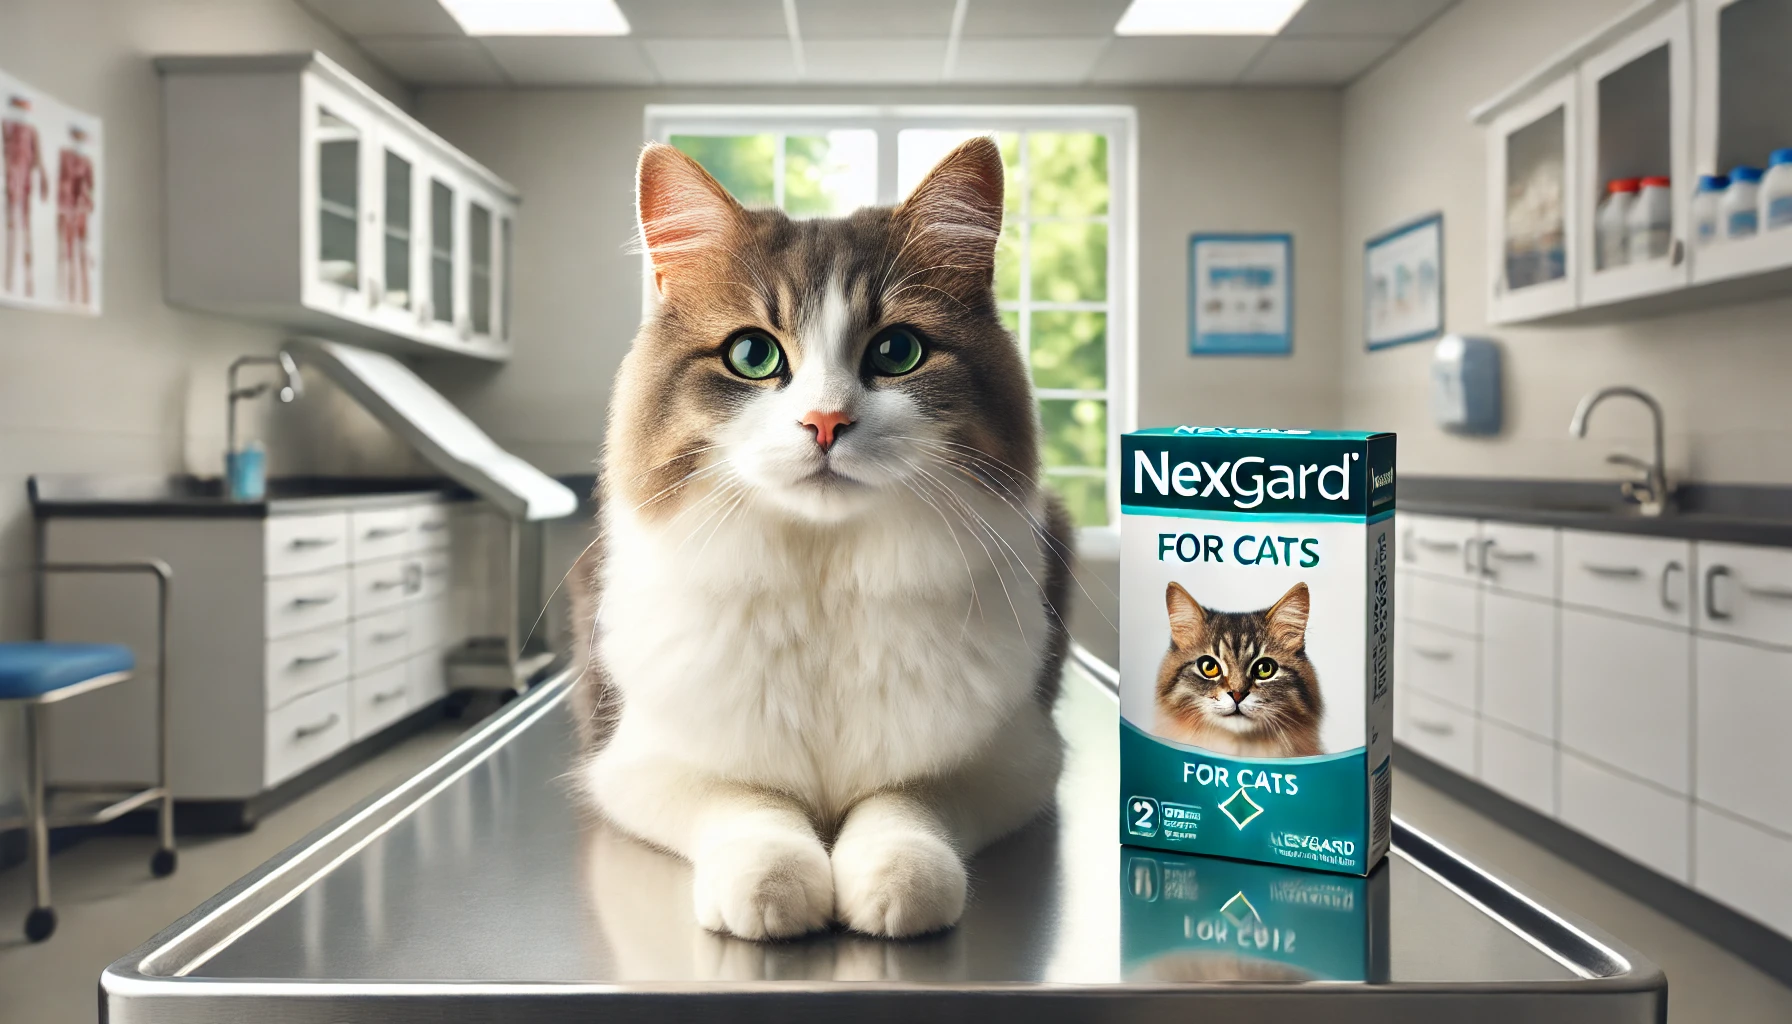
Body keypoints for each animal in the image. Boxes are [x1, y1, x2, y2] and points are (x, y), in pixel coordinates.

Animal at [573, 138, 1068, 946]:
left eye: (897, 351)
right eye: (752, 355)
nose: (827, 422)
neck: (824, 577)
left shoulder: (1012, 756)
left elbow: (907, 800)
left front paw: (897, 879)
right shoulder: (638, 758)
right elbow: (746, 800)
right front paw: (774, 884)